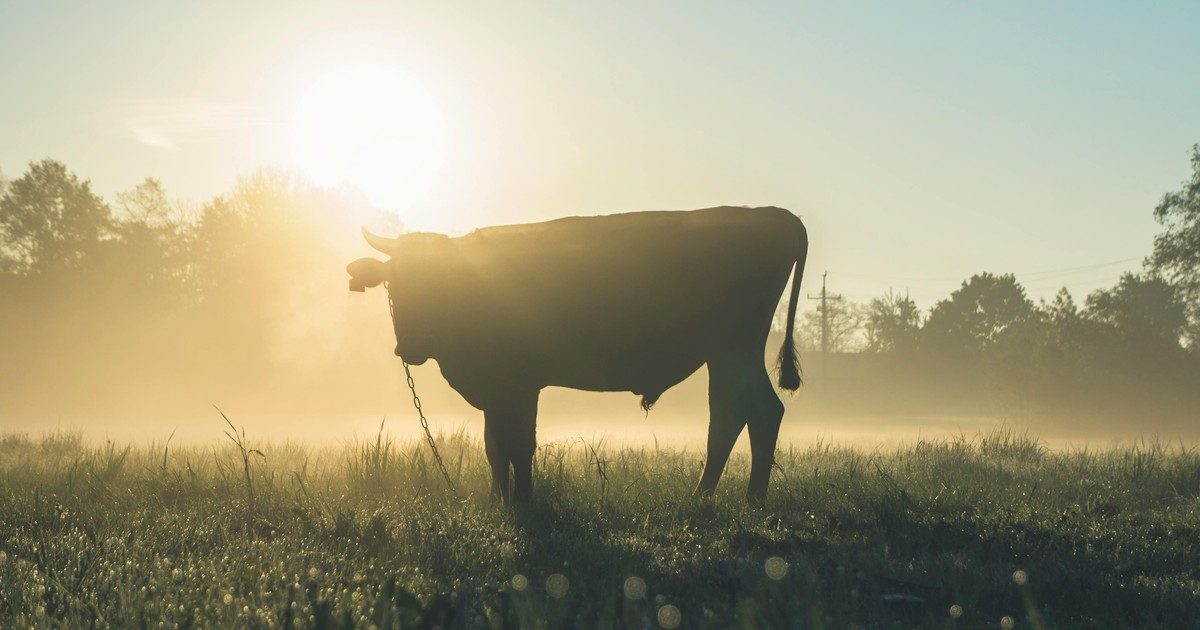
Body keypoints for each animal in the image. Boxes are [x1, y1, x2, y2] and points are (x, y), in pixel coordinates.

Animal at [348, 205, 806, 501]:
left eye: (440, 280)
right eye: (395, 282)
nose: (412, 345)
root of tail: (773, 214)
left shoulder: (519, 385)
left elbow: (519, 444)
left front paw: (524, 502)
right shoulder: (496, 390)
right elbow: (494, 446)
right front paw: (498, 501)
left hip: (734, 348)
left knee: (745, 413)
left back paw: (727, 500)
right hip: (729, 354)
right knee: (746, 413)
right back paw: (731, 498)